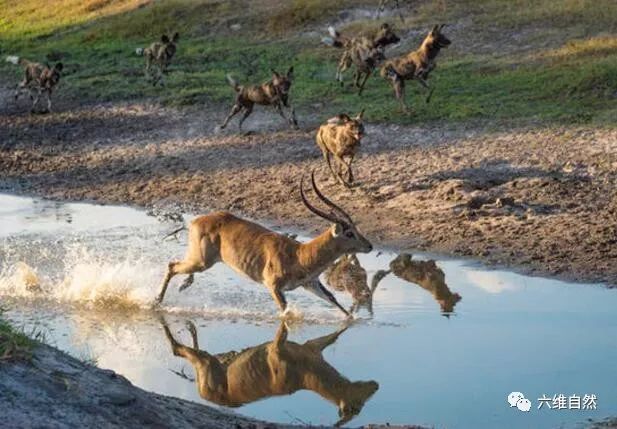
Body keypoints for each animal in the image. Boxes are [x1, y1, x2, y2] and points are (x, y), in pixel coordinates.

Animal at [156, 172, 372, 316]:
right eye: (349, 232)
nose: (369, 245)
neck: (300, 254)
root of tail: (195, 221)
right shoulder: (274, 288)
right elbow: (286, 314)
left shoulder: (311, 284)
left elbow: (335, 301)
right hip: (201, 261)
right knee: (171, 265)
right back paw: (156, 301)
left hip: (200, 261)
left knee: (178, 266)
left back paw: (183, 286)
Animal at [161, 318, 378, 424]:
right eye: (356, 407)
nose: (376, 385)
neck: (305, 376)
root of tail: (203, 394)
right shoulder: (276, 349)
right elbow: (283, 326)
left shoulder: (311, 348)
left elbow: (336, 333)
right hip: (206, 365)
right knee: (177, 350)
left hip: (212, 363)